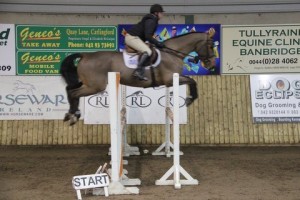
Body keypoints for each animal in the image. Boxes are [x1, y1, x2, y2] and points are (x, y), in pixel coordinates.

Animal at [60, 28, 216, 125]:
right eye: (210, 46)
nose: (211, 65)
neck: (173, 53)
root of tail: (85, 55)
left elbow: (192, 81)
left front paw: (190, 98)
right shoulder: (170, 80)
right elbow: (192, 81)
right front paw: (190, 99)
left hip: (89, 84)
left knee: (70, 89)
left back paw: (70, 115)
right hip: (95, 86)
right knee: (74, 93)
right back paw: (73, 116)